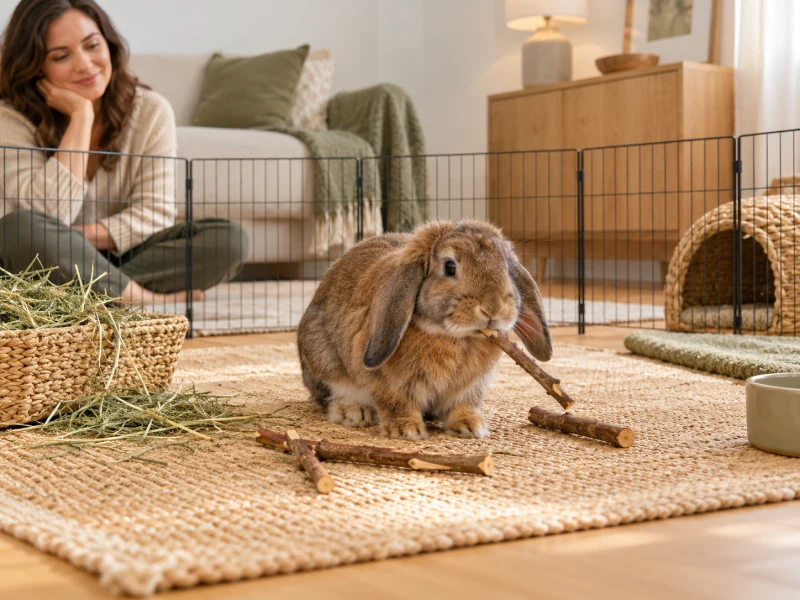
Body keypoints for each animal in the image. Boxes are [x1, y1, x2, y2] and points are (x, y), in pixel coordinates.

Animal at [296, 219, 552, 441]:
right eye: (450, 266)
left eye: (506, 268)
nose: (493, 308)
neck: (454, 337)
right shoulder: (387, 382)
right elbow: (396, 402)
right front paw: (406, 430)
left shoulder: (471, 387)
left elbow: (462, 404)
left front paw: (471, 426)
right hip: (323, 359)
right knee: (333, 394)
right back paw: (354, 412)